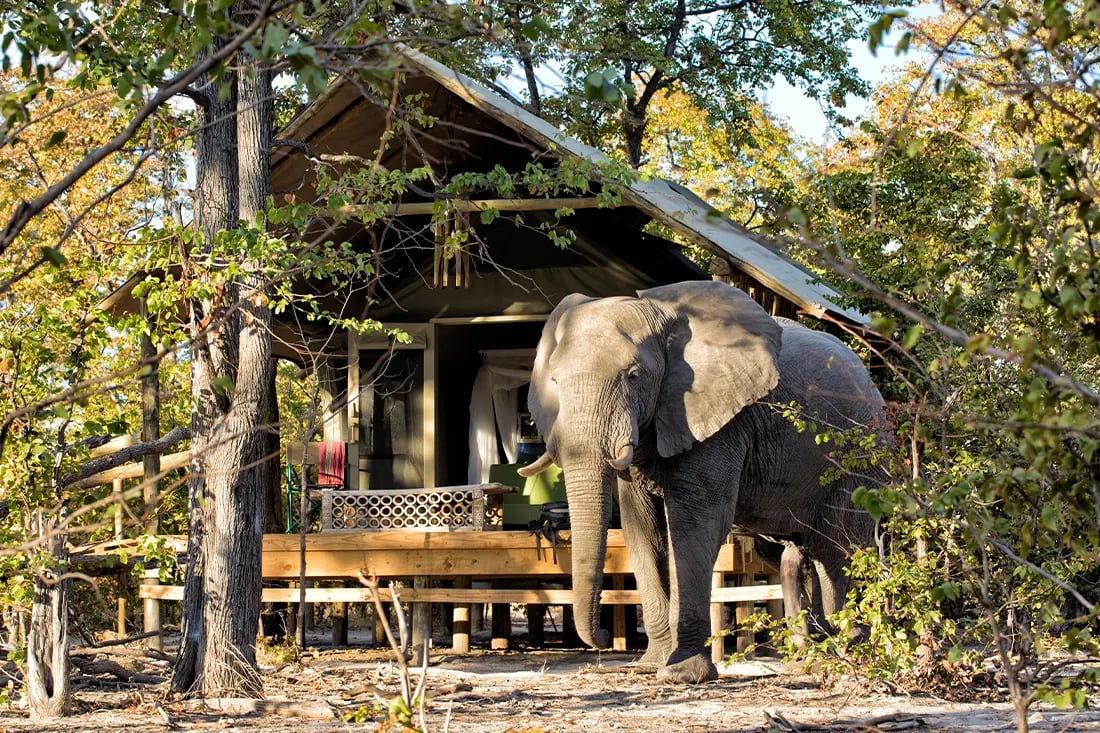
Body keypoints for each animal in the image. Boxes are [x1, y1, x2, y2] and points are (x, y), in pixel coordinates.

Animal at [517, 280, 889, 684]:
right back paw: (814, 659)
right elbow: (641, 527)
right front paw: (652, 665)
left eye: (634, 376)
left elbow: (694, 523)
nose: (601, 637)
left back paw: (851, 652)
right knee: (799, 551)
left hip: (860, 459)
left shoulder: (721, 422)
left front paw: (681, 674)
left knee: (837, 548)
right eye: (554, 382)